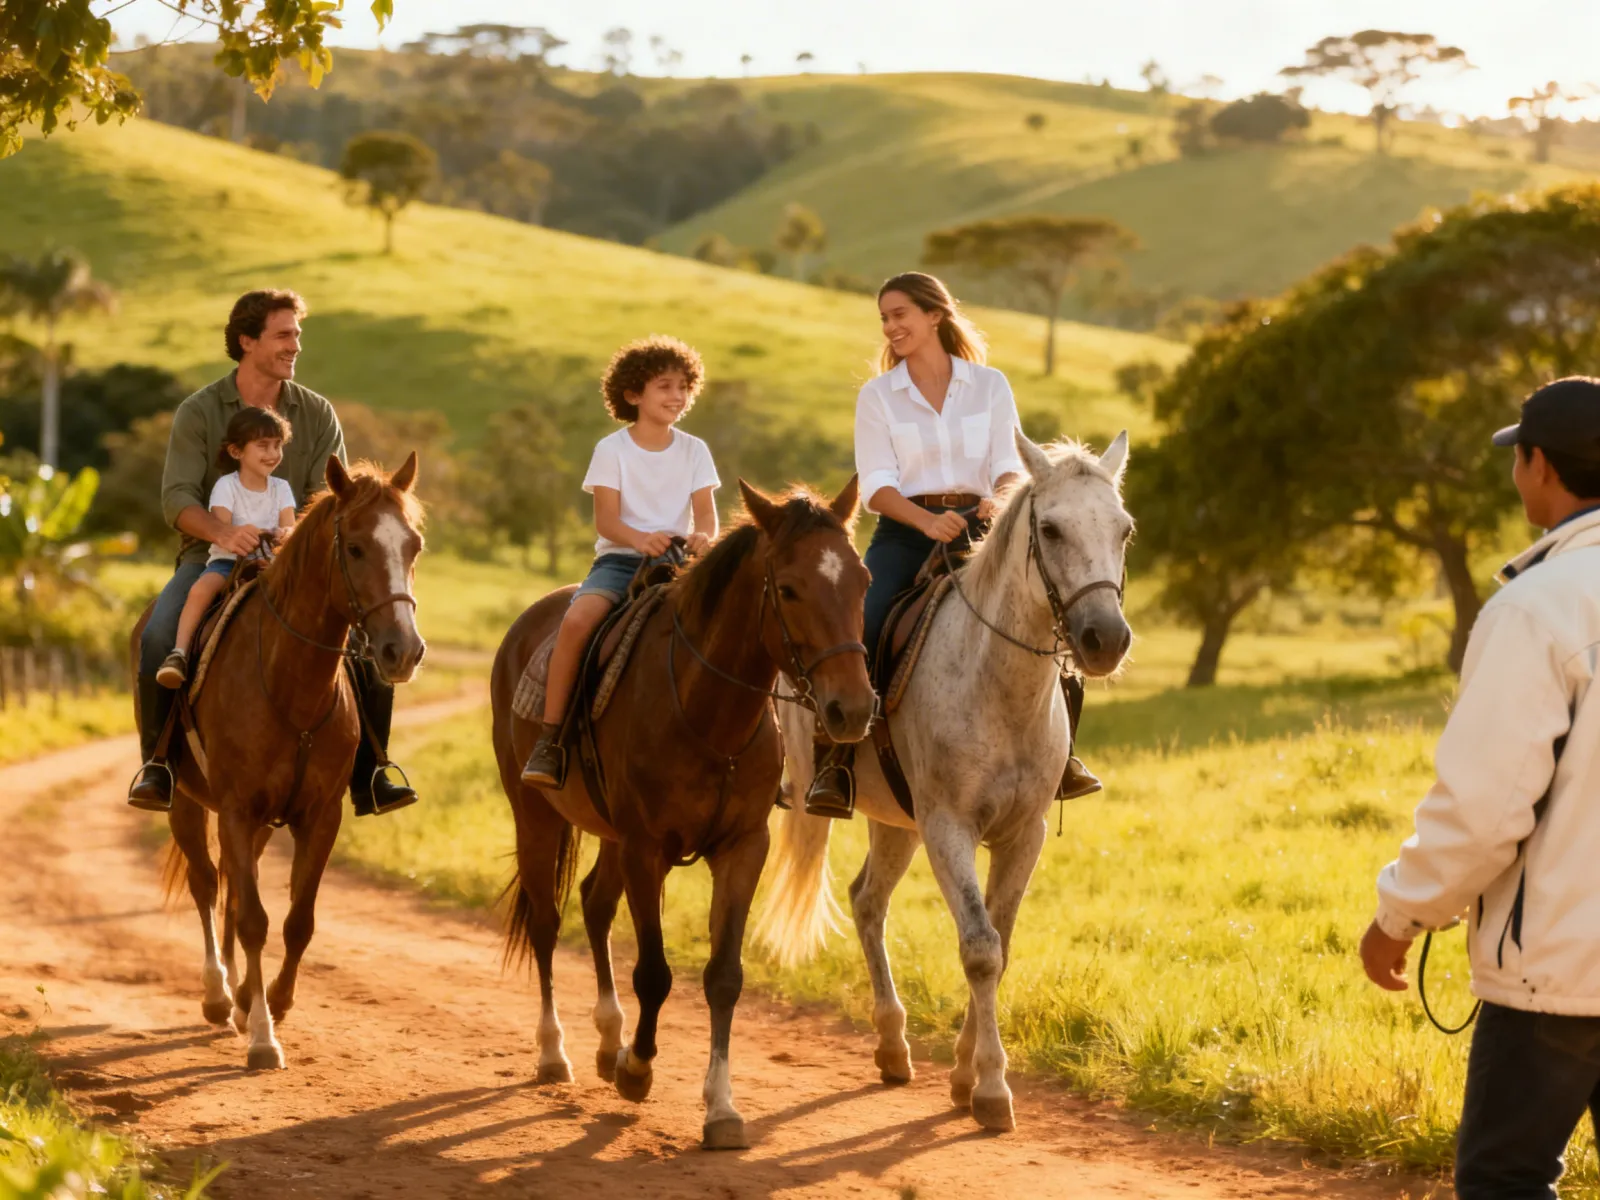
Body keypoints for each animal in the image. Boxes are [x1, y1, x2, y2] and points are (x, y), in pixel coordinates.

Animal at [133, 455, 427, 1071]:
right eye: (356, 547)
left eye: (413, 546)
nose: (403, 652)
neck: (292, 687)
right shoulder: (236, 810)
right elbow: (253, 919)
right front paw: (264, 1037)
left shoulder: (319, 818)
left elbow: (297, 921)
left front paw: (274, 1002)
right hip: (187, 806)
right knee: (206, 884)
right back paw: (219, 994)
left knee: (230, 883)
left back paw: (242, 997)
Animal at [491, 478, 874, 1150]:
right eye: (790, 588)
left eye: (862, 580)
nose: (851, 709)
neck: (708, 712)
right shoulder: (648, 848)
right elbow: (655, 972)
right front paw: (638, 1070)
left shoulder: (743, 847)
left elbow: (724, 976)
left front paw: (720, 1108)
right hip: (536, 814)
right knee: (546, 921)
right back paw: (554, 1052)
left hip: (610, 835)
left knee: (593, 904)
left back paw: (608, 1038)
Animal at [758, 432, 1134, 1133]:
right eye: (1050, 528)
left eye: (1123, 529)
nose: (1105, 639)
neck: (997, 683)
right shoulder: (948, 828)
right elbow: (980, 947)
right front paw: (989, 1088)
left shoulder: (1023, 834)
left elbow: (1000, 945)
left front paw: (963, 1074)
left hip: (895, 822)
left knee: (866, 901)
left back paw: (891, 1045)